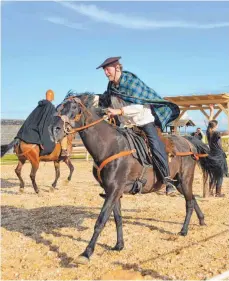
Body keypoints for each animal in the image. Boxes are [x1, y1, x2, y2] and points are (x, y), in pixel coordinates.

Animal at [49, 93, 211, 262]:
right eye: (58, 108)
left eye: (74, 107)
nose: (54, 130)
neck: (110, 146)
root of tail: (188, 142)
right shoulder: (113, 191)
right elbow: (117, 218)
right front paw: (119, 245)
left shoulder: (114, 190)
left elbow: (101, 220)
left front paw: (86, 253)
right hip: (179, 182)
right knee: (192, 198)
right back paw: (201, 220)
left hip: (185, 179)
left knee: (189, 203)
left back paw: (184, 230)